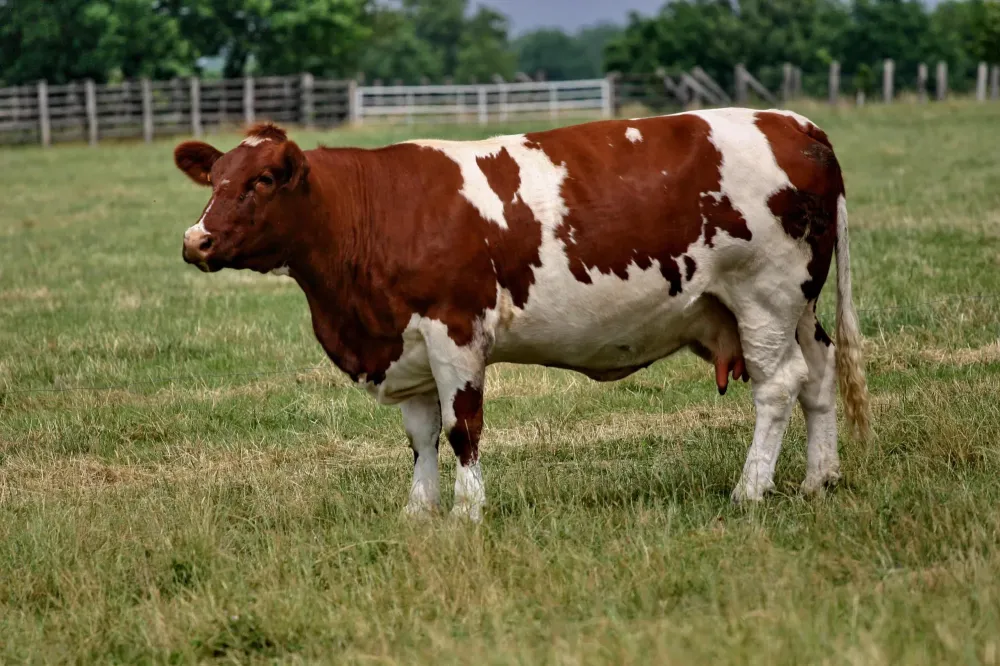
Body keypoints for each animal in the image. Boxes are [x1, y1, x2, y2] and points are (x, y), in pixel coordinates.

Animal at [174, 108, 871, 521]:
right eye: (216, 178)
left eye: (262, 181)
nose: (195, 240)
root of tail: (794, 121)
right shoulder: (404, 344)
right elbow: (420, 437)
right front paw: (418, 513)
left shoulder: (453, 330)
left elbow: (462, 428)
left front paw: (466, 513)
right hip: (797, 304)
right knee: (819, 373)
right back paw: (820, 478)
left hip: (764, 293)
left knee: (779, 385)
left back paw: (750, 490)